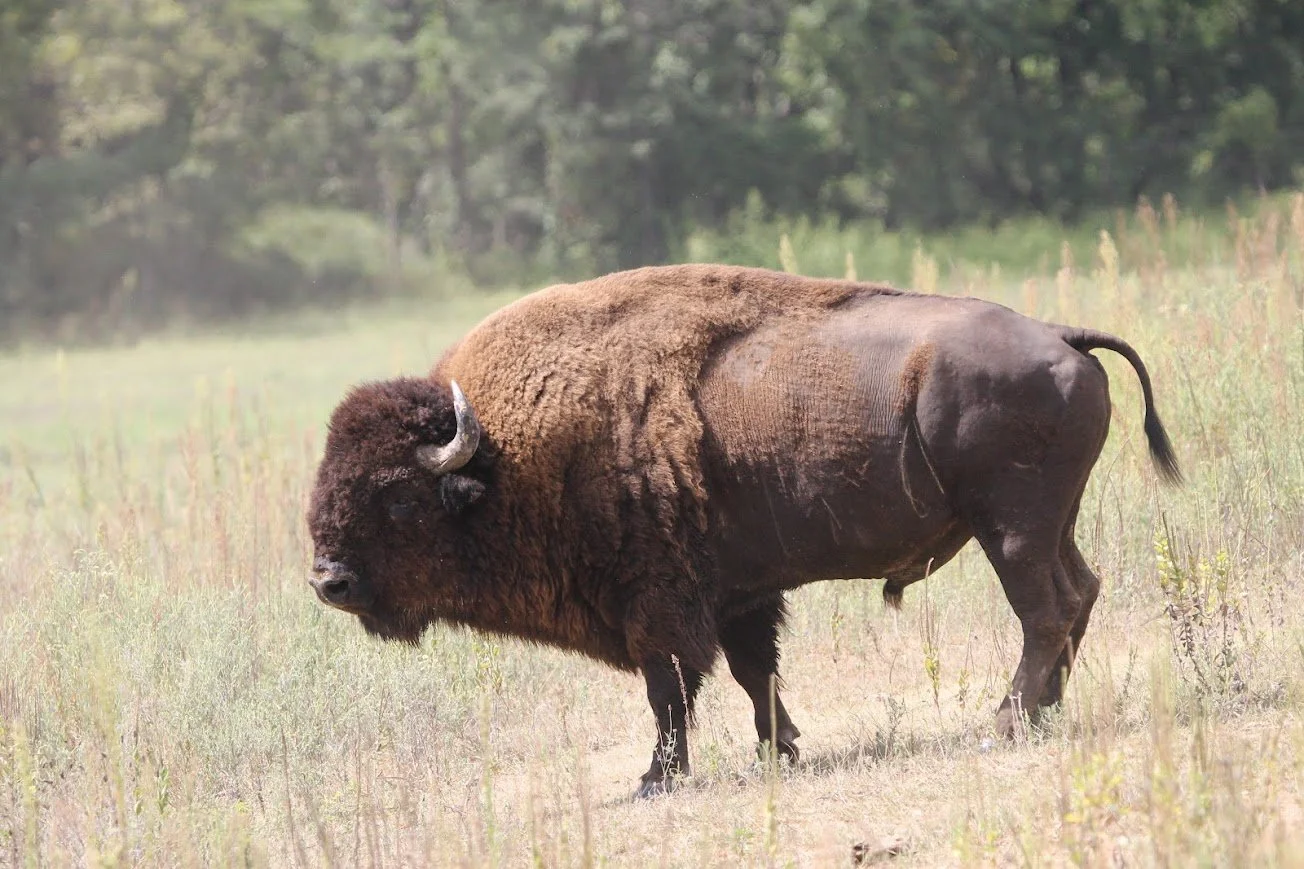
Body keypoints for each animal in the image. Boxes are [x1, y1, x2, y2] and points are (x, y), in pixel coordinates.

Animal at [307, 264, 1180, 797]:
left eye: (399, 497)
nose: (328, 579)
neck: (504, 452)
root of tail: (1061, 336)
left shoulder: (660, 606)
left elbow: (670, 690)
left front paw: (654, 780)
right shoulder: (738, 597)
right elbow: (753, 672)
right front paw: (779, 748)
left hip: (1011, 529)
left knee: (1044, 610)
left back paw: (1007, 722)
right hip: (1048, 524)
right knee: (1079, 594)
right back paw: (1045, 709)